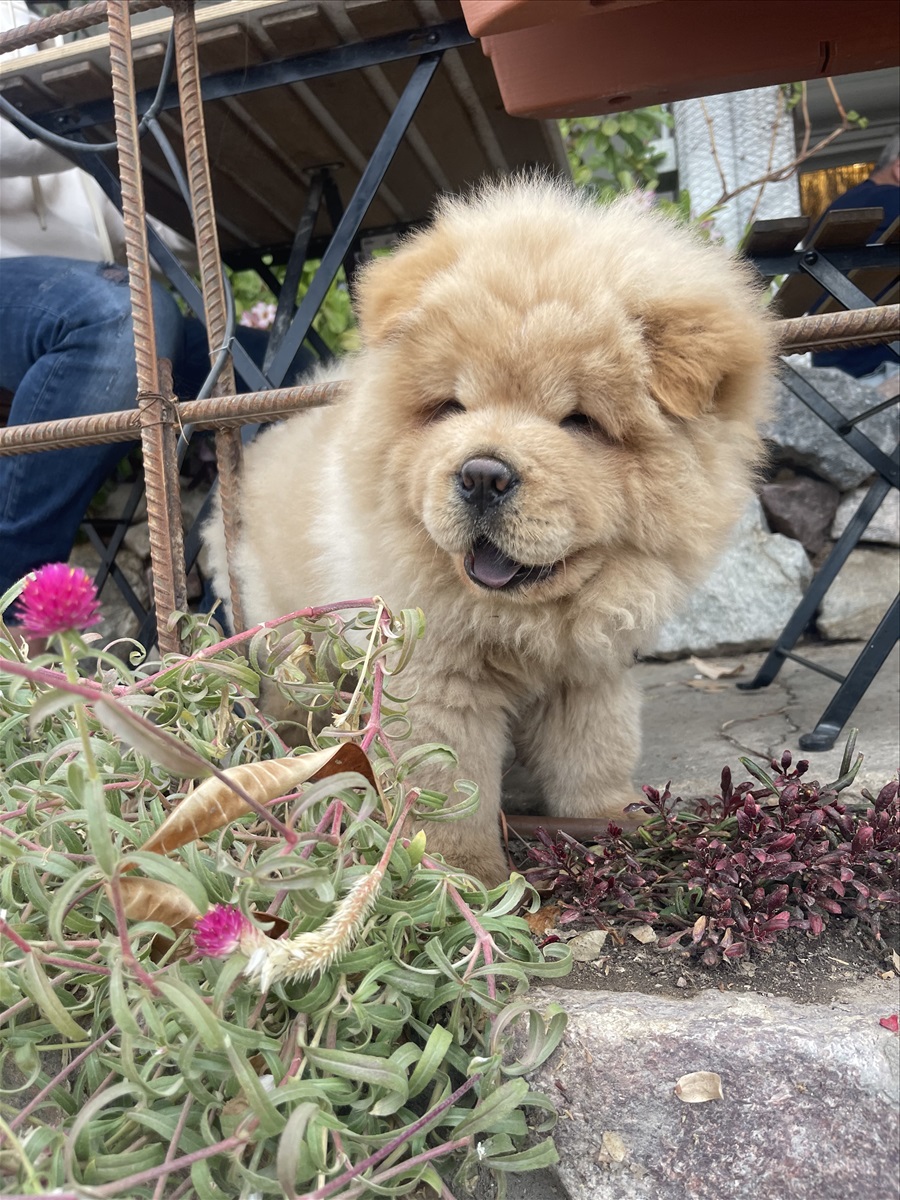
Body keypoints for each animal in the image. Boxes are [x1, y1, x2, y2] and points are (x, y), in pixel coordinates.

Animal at [204, 177, 777, 888]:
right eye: (454, 407)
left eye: (579, 422)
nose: (481, 474)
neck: (527, 620)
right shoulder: (437, 676)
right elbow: (448, 783)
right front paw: (462, 875)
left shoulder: (590, 670)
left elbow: (598, 745)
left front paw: (611, 819)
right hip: (287, 638)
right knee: (290, 703)